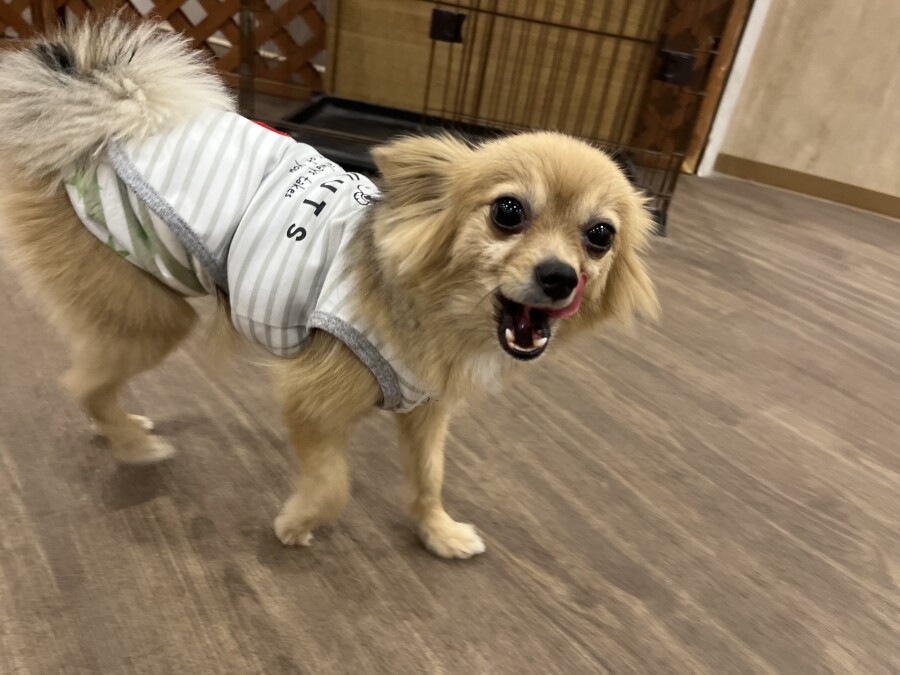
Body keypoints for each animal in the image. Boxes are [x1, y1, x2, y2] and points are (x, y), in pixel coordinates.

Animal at [0, 15, 658, 558]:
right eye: (508, 212)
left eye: (600, 235)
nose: (559, 276)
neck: (432, 311)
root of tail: (106, 113)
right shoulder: (311, 400)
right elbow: (334, 484)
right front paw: (297, 524)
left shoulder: (426, 410)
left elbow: (428, 478)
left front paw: (439, 533)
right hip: (153, 314)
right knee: (82, 382)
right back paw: (134, 447)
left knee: (95, 375)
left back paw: (125, 428)